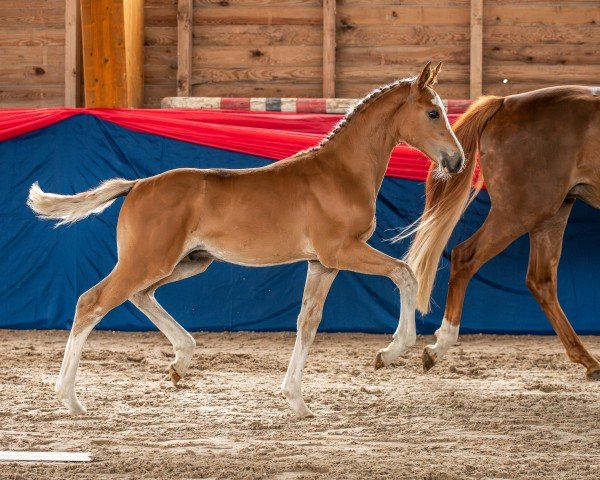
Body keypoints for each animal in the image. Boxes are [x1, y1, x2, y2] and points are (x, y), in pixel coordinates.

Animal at [27, 62, 464, 416]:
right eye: (432, 112)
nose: (457, 161)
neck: (340, 173)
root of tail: (136, 185)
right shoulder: (343, 251)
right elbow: (404, 273)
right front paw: (390, 352)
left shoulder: (321, 264)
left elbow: (308, 322)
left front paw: (296, 401)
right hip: (147, 260)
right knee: (92, 302)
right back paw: (70, 398)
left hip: (188, 262)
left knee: (140, 295)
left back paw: (180, 360)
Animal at [400, 85, 600, 378]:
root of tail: (505, 102)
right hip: (520, 211)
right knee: (465, 256)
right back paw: (440, 345)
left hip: (551, 214)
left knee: (541, 280)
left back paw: (587, 359)